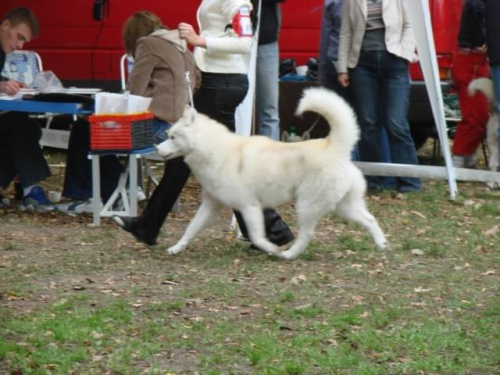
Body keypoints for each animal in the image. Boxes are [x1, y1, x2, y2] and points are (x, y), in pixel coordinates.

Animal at [155, 88, 386, 260]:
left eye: (173, 137)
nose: (157, 148)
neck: (214, 150)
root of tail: (335, 147)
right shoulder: (210, 206)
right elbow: (190, 229)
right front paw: (176, 248)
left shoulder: (249, 207)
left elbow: (257, 237)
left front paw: (271, 248)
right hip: (345, 206)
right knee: (370, 219)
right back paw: (382, 244)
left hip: (306, 206)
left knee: (307, 234)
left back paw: (288, 254)